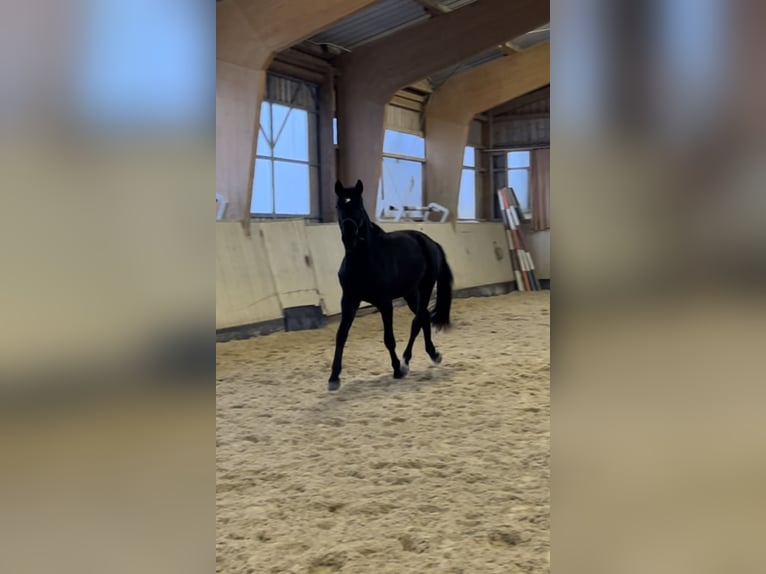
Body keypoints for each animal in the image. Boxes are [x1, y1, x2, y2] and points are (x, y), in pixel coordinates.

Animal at [328, 179, 454, 391]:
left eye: (358, 206)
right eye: (338, 205)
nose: (349, 237)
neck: (364, 260)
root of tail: (431, 243)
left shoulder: (385, 303)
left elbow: (389, 338)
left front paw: (397, 369)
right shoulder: (349, 300)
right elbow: (341, 335)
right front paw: (333, 378)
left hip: (425, 287)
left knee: (418, 320)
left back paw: (406, 361)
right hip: (411, 293)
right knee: (424, 317)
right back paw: (433, 354)